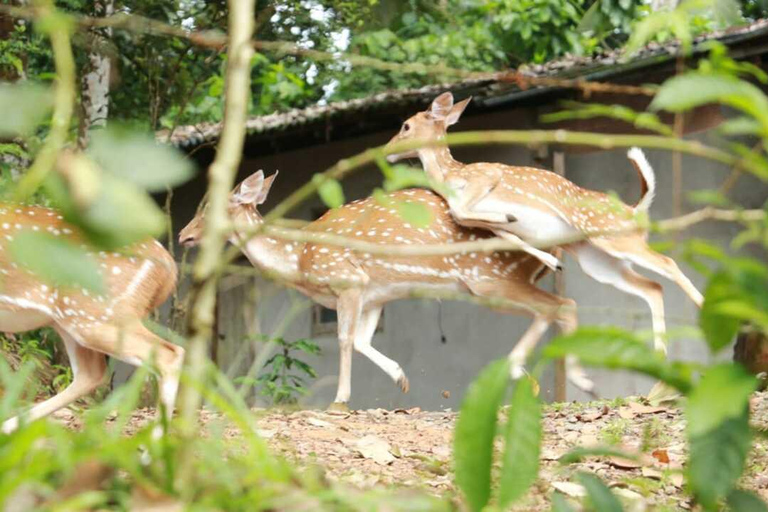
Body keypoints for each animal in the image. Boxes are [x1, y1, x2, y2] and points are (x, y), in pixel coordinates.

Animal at [179, 170, 595, 410]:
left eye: (208, 209)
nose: (183, 235)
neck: (299, 260)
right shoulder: (376, 292)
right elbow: (362, 341)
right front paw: (400, 377)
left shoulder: (347, 280)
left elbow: (345, 340)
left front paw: (340, 399)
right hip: (491, 287)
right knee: (553, 307)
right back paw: (524, 373)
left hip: (489, 277)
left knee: (564, 303)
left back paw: (578, 379)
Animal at [386, 92, 704, 358]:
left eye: (406, 126)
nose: (386, 151)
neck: (450, 177)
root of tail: (635, 209)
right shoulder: (488, 221)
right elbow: (493, 228)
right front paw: (550, 259)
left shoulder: (486, 177)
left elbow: (461, 211)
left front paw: (513, 220)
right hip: (599, 261)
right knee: (652, 287)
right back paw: (661, 358)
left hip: (616, 237)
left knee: (668, 264)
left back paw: (705, 310)